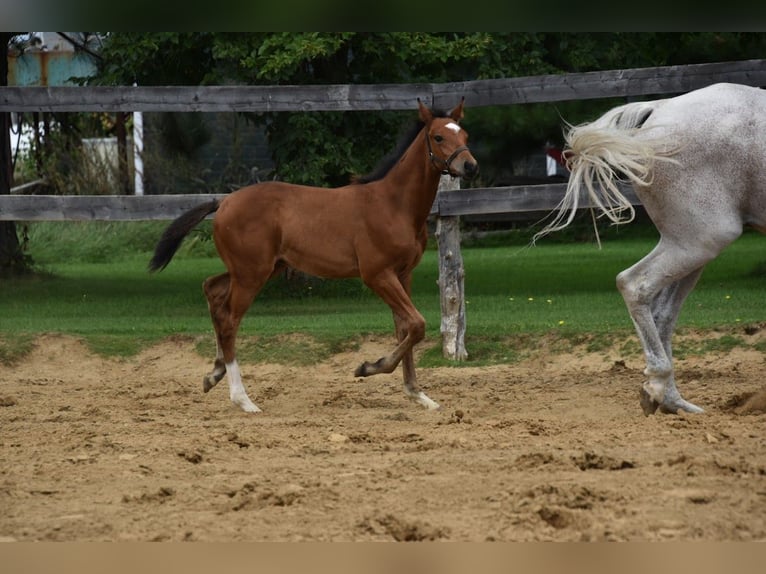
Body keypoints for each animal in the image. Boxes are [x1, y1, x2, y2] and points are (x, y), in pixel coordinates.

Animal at [148, 99, 476, 414]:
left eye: (464, 135)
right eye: (438, 136)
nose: (470, 165)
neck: (394, 205)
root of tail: (224, 202)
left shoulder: (402, 274)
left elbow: (405, 329)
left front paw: (418, 395)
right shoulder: (377, 274)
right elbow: (417, 325)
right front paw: (367, 367)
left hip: (259, 268)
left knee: (212, 290)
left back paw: (214, 374)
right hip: (251, 273)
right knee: (229, 320)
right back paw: (243, 400)